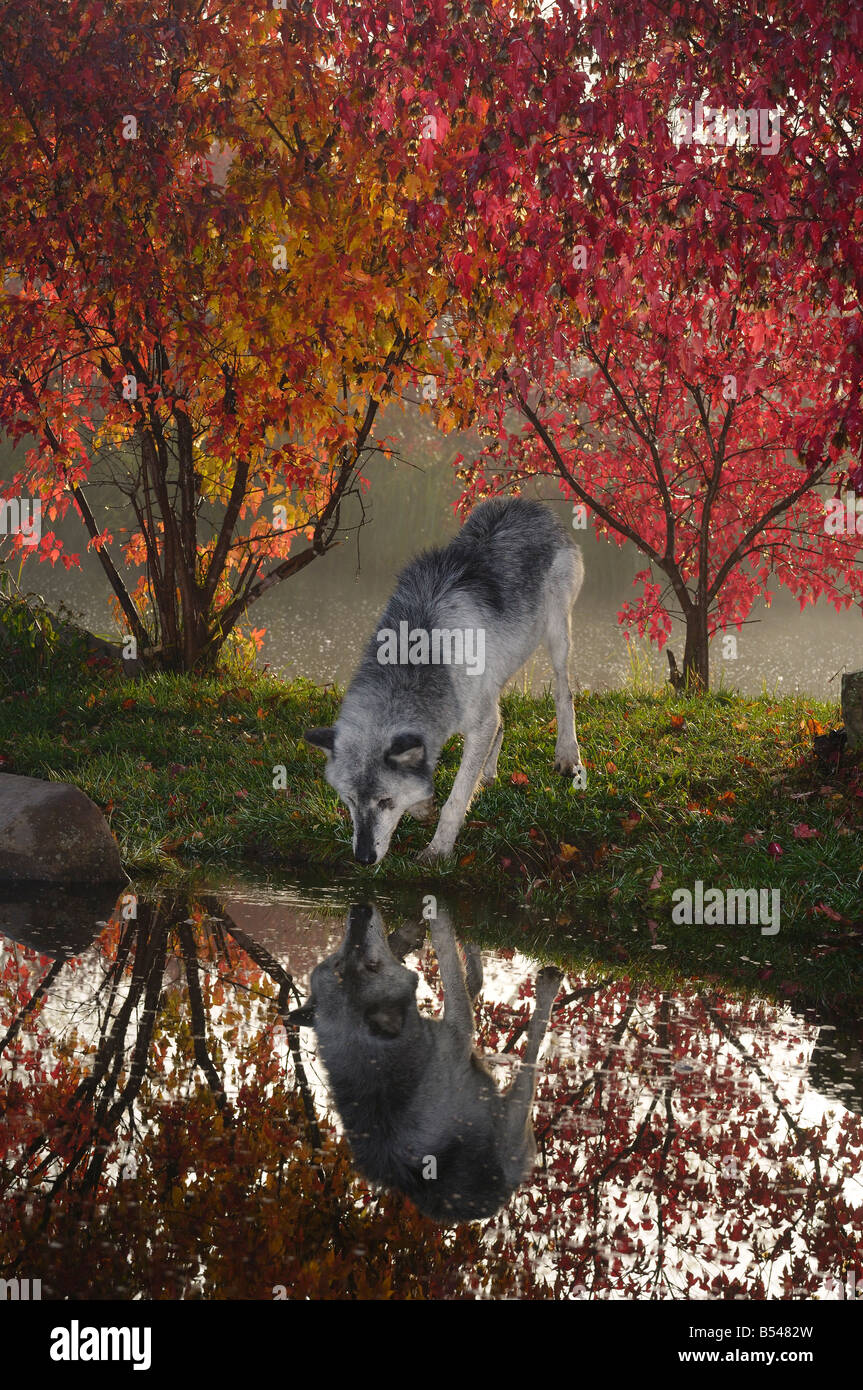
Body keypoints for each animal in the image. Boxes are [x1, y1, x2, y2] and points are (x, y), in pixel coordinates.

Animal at [286, 900, 561, 1217]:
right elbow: (449, 961)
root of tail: (492, 1203)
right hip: (515, 1128)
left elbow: (465, 978)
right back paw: (547, 988)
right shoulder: (458, 1030)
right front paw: (440, 915)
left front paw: (468, 939)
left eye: (337, 962)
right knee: (532, 1053)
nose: (359, 909)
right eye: (372, 965)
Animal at [304, 494, 586, 861]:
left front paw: (437, 851)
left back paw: (567, 755)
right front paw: (423, 805)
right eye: (349, 800)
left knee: (563, 694)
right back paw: (490, 772)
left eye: (385, 801)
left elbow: (456, 800)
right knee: (504, 719)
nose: (364, 859)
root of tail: (529, 504)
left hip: (556, 637)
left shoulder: (479, 721)